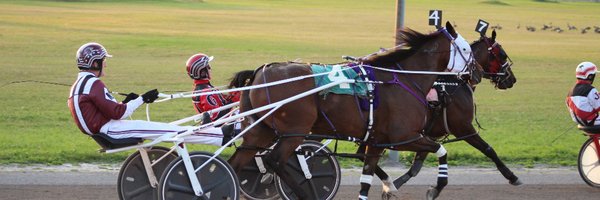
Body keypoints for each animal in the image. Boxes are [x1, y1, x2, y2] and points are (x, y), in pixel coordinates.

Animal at [227, 21, 476, 199]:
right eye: (465, 48)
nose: (477, 72)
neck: (404, 79)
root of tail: (260, 72)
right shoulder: (404, 137)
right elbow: (441, 150)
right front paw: (434, 188)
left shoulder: (377, 141)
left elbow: (366, 181)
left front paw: (389, 187)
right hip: (294, 131)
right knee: (274, 160)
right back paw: (304, 193)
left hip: (261, 131)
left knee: (235, 163)